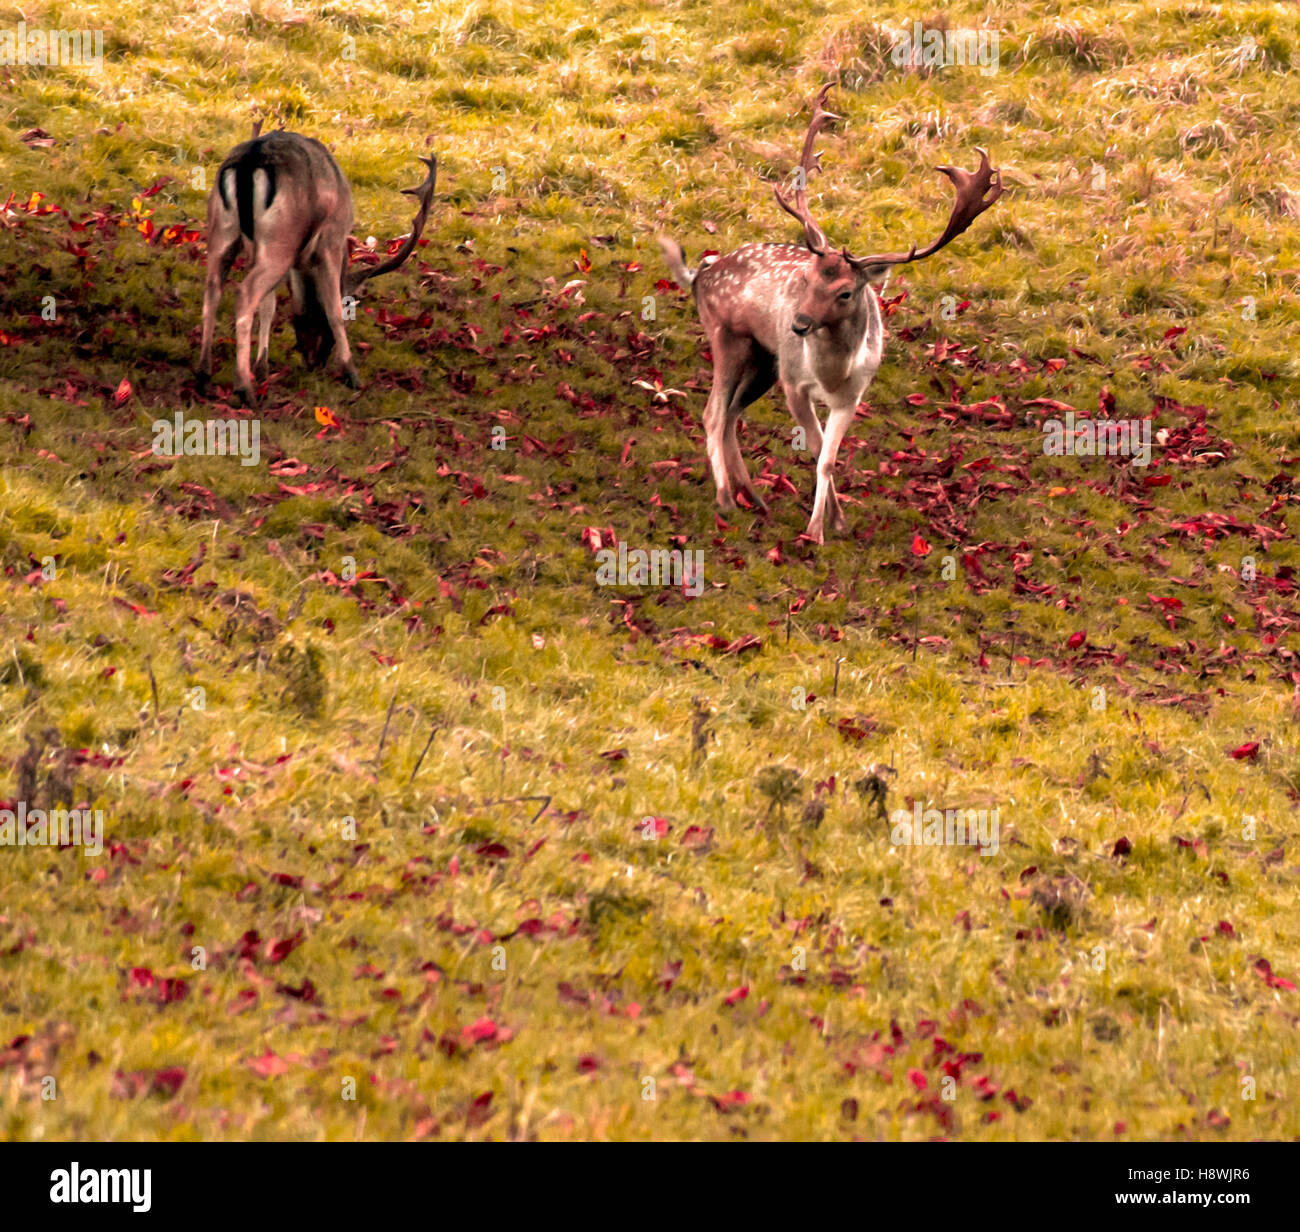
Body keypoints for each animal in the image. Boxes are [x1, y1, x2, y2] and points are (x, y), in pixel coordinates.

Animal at [193, 128, 436, 405]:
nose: (315, 362)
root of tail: (250, 160)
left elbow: (270, 304)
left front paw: (262, 368)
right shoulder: (331, 240)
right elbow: (332, 308)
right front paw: (352, 374)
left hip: (223, 229)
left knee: (213, 288)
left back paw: (204, 376)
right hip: (280, 239)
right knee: (244, 293)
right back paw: (244, 388)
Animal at [660, 86, 1003, 543]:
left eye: (845, 292)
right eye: (806, 277)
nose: (798, 324)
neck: (832, 375)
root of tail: (699, 274)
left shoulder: (853, 394)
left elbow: (827, 457)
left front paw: (832, 524)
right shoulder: (794, 382)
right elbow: (816, 446)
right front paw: (817, 529)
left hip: (763, 360)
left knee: (732, 413)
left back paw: (755, 497)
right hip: (728, 337)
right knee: (713, 413)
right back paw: (725, 497)